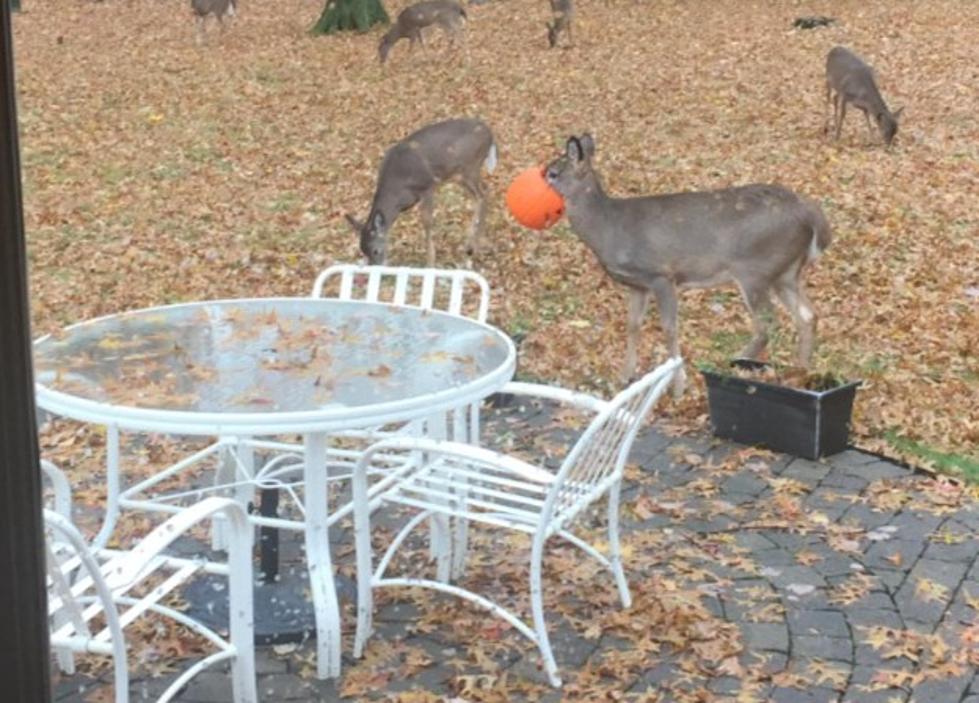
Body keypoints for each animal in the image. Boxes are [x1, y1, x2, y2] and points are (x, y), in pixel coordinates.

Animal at [346, 118, 498, 266]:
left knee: (483, 194)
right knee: (482, 193)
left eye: (375, 251)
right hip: (460, 175)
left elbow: (427, 221)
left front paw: (430, 261)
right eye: (363, 251)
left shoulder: (427, 186)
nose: (376, 266)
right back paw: (471, 244)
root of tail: (490, 134)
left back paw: (473, 247)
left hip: (469, 167)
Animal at [548, 133, 832, 396]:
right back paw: (802, 373)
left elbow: (669, 328)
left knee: (768, 324)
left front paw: (677, 387)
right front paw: (625, 377)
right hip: (786, 273)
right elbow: (633, 326)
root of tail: (811, 216)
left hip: (756, 270)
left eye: (552, 172)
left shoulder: (661, 274)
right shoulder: (638, 285)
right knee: (807, 315)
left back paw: (734, 363)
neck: (609, 227)